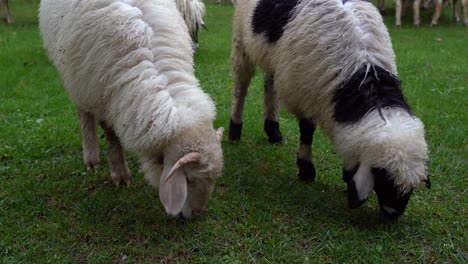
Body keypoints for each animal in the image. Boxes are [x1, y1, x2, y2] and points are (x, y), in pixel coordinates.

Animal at [39, 0, 224, 219]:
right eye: (190, 179)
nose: (195, 215)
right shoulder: (102, 94)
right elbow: (111, 134)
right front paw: (120, 174)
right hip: (77, 77)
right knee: (83, 113)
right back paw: (91, 157)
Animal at [229, 0, 430, 219]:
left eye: (410, 190)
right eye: (384, 180)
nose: (392, 216)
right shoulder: (304, 92)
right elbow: (307, 130)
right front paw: (306, 170)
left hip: (273, 57)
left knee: (270, 85)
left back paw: (273, 130)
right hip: (242, 41)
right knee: (241, 88)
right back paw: (234, 129)